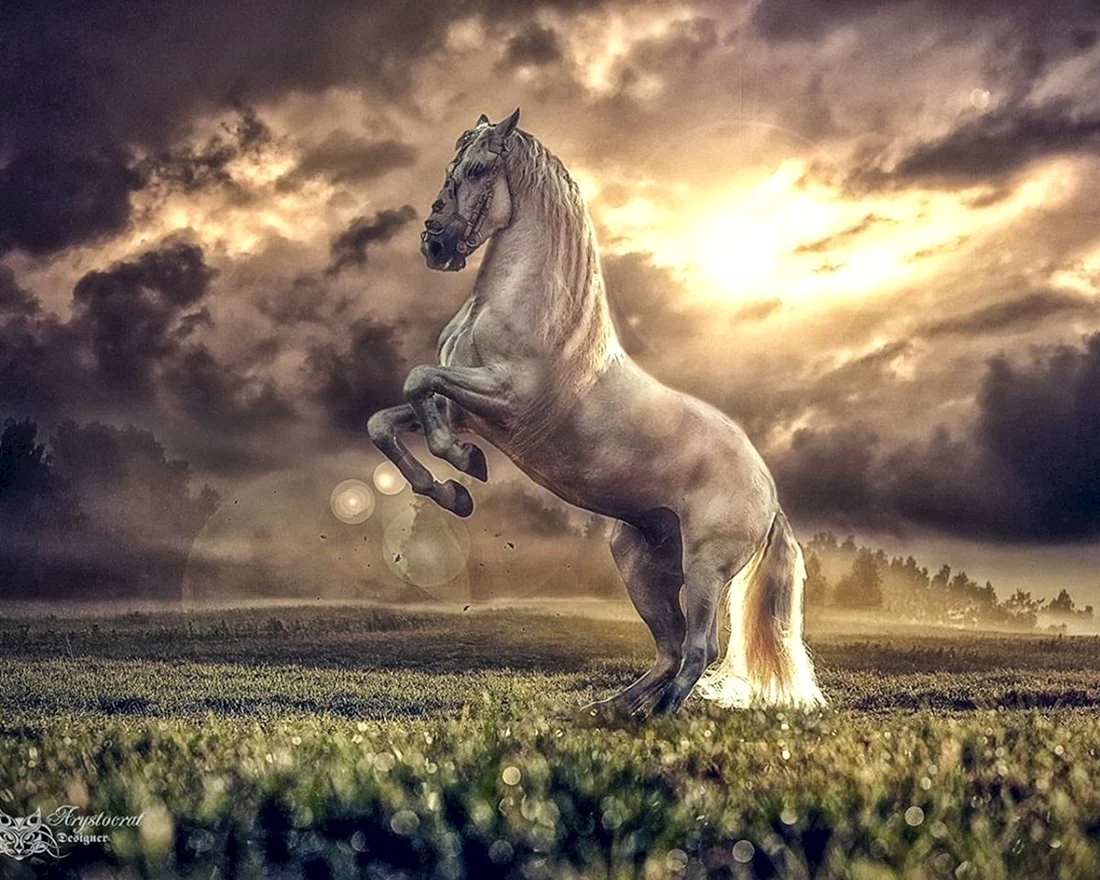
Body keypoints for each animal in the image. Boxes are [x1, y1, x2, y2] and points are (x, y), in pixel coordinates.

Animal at [367, 109, 824, 714]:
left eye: (479, 168)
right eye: (451, 166)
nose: (435, 244)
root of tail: (768, 495)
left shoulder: (504, 399)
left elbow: (419, 381)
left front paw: (464, 467)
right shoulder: (465, 408)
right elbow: (388, 420)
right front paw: (452, 491)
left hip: (705, 567)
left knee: (699, 648)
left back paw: (658, 715)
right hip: (639, 563)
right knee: (669, 649)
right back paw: (608, 709)